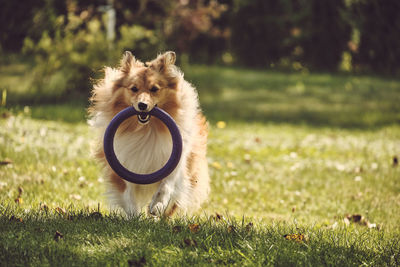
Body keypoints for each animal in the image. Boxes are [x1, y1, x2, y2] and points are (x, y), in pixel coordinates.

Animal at [88, 51, 209, 218]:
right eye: (134, 88)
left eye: (154, 89)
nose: (142, 105)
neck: (146, 129)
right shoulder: (123, 163)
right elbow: (127, 192)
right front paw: (133, 216)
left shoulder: (175, 161)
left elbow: (166, 186)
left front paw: (157, 205)